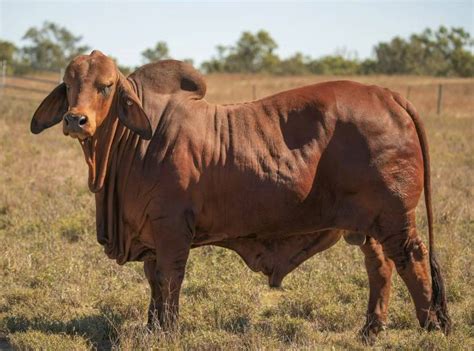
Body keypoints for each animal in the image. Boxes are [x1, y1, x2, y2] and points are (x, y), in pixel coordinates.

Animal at [30, 51, 452, 342]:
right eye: (68, 85)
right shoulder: (150, 234)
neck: (128, 144)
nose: (75, 119)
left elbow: (168, 280)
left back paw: (430, 326)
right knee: (380, 268)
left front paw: (167, 331)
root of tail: (386, 94)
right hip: (368, 225)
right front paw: (152, 328)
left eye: (105, 86)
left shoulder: (171, 230)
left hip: (395, 219)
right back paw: (370, 331)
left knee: (413, 260)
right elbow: (153, 282)